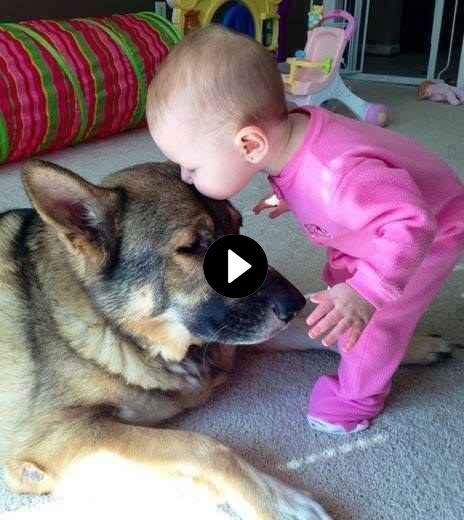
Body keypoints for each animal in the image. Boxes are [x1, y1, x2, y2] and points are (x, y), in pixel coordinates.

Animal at [0, 160, 334, 520]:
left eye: (239, 224)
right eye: (192, 247)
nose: (294, 302)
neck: (119, 329)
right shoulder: (61, 436)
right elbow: (202, 447)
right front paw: (278, 500)